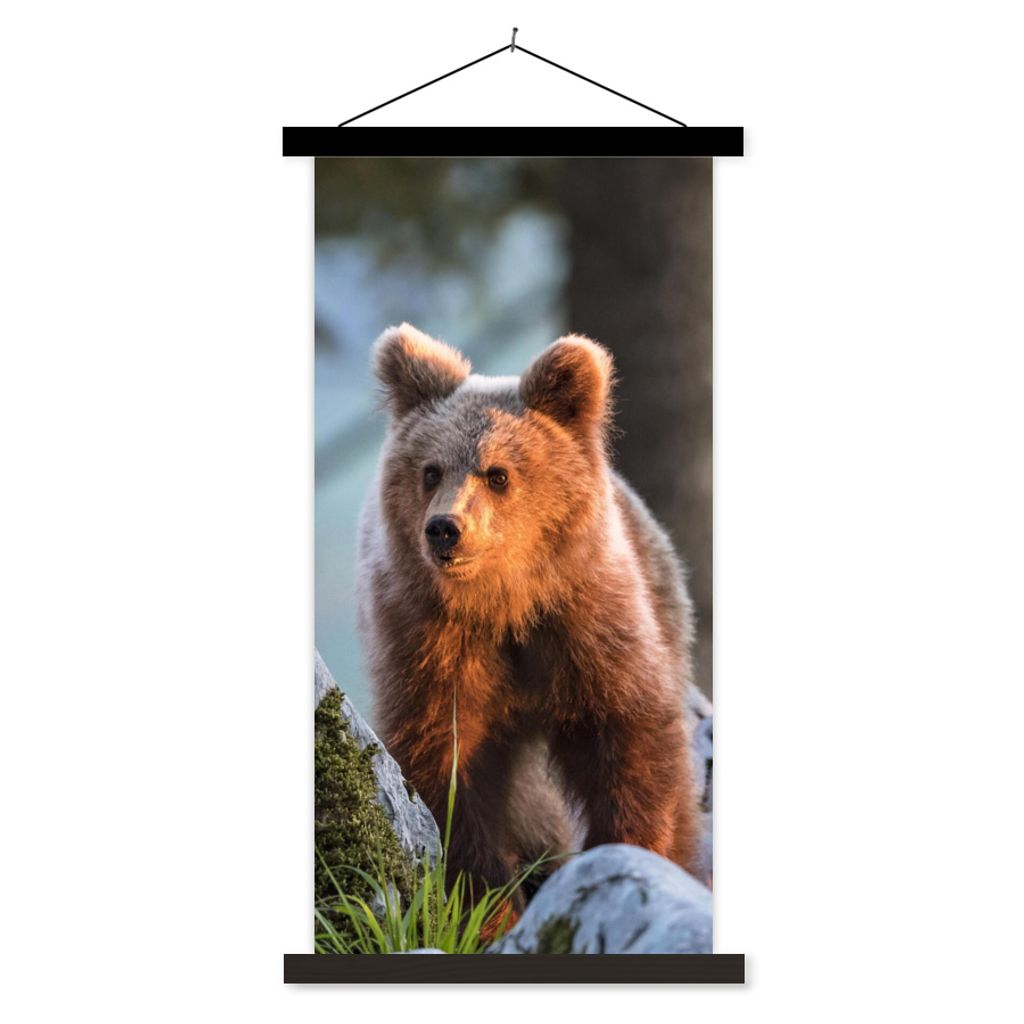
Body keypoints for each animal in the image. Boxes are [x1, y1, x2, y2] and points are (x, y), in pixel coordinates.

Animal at [356, 323, 701, 897]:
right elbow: (445, 768)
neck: (505, 603)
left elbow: (632, 737)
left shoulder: (586, 622)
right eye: (431, 471)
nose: (445, 528)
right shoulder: (428, 642)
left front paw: (635, 849)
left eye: (497, 474)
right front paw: (490, 895)